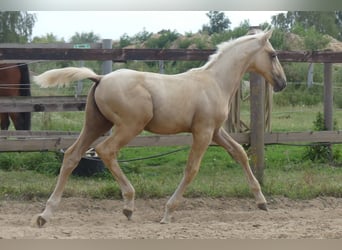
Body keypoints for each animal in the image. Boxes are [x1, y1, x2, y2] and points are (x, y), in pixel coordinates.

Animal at [34, 29, 286, 227]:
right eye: (273, 55)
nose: (282, 83)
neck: (214, 82)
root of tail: (100, 78)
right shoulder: (203, 132)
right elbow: (191, 169)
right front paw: (167, 212)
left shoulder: (215, 131)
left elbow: (240, 153)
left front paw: (262, 202)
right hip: (130, 126)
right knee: (106, 150)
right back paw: (128, 205)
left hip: (95, 124)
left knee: (72, 155)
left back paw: (46, 214)